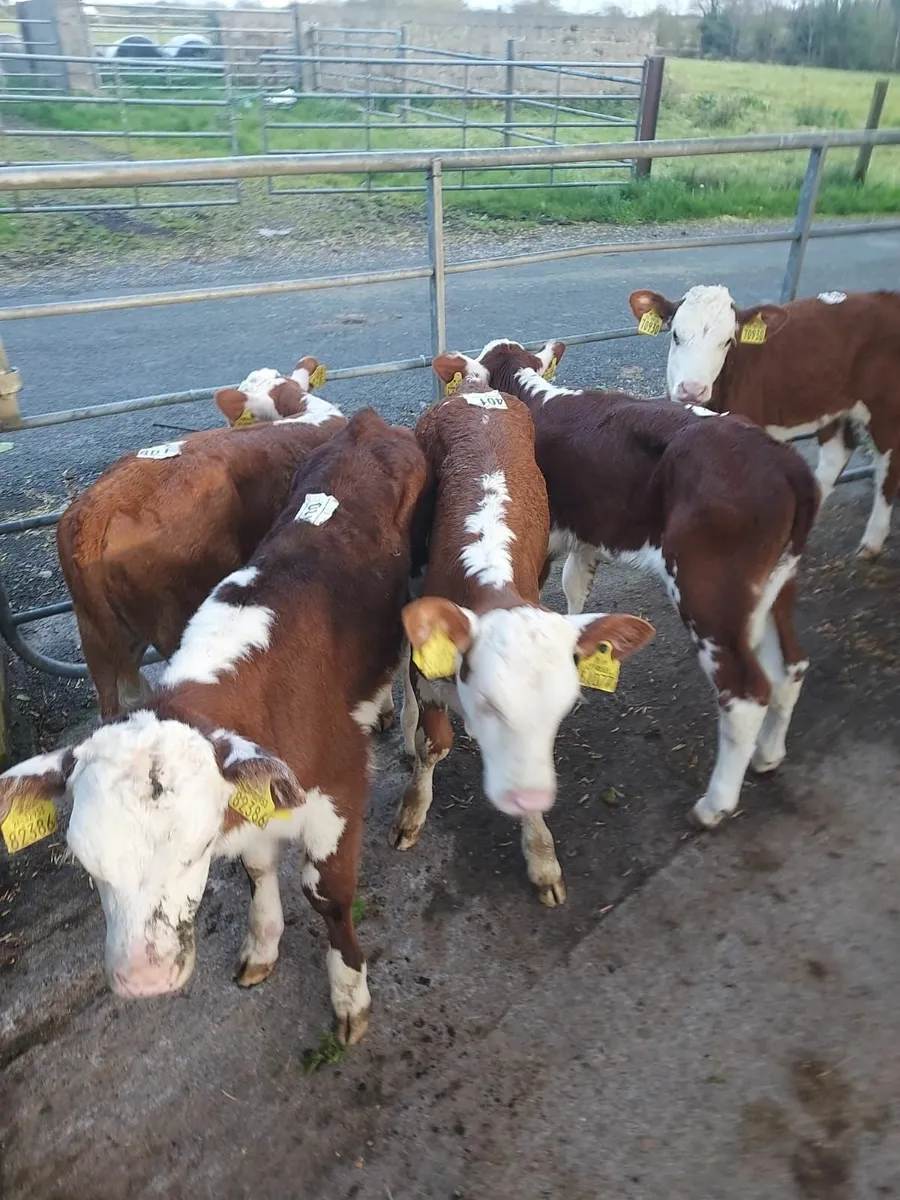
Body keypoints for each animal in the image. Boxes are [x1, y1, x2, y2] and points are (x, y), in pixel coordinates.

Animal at [394, 366, 655, 905]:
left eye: (561, 709)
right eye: (490, 703)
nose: (526, 794)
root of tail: (474, 392)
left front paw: (541, 856)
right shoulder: (431, 670)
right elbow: (433, 744)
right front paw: (412, 811)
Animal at [468, 337, 820, 831]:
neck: (535, 398)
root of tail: (785, 462)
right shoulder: (587, 530)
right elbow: (576, 586)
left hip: (707, 587)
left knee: (746, 691)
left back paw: (713, 806)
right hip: (778, 578)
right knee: (791, 664)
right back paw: (769, 755)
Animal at [628, 285, 900, 558]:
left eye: (727, 341)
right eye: (675, 335)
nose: (692, 389)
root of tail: (888, 298)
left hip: (886, 409)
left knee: (887, 466)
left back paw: (872, 541)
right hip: (828, 403)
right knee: (837, 452)